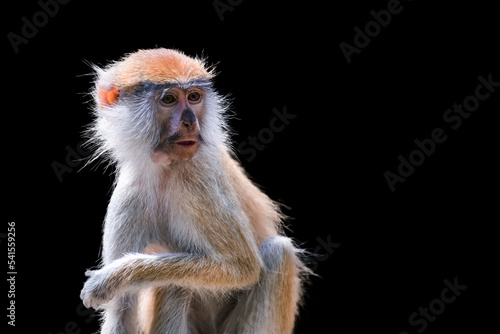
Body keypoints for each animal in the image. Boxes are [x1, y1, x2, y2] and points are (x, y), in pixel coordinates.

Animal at [80, 47, 308, 334]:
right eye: (169, 99)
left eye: (194, 97)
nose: (190, 122)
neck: (165, 170)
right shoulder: (130, 192)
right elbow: (122, 310)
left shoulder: (199, 178)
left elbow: (242, 268)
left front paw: (118, 276)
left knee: (277, 252)